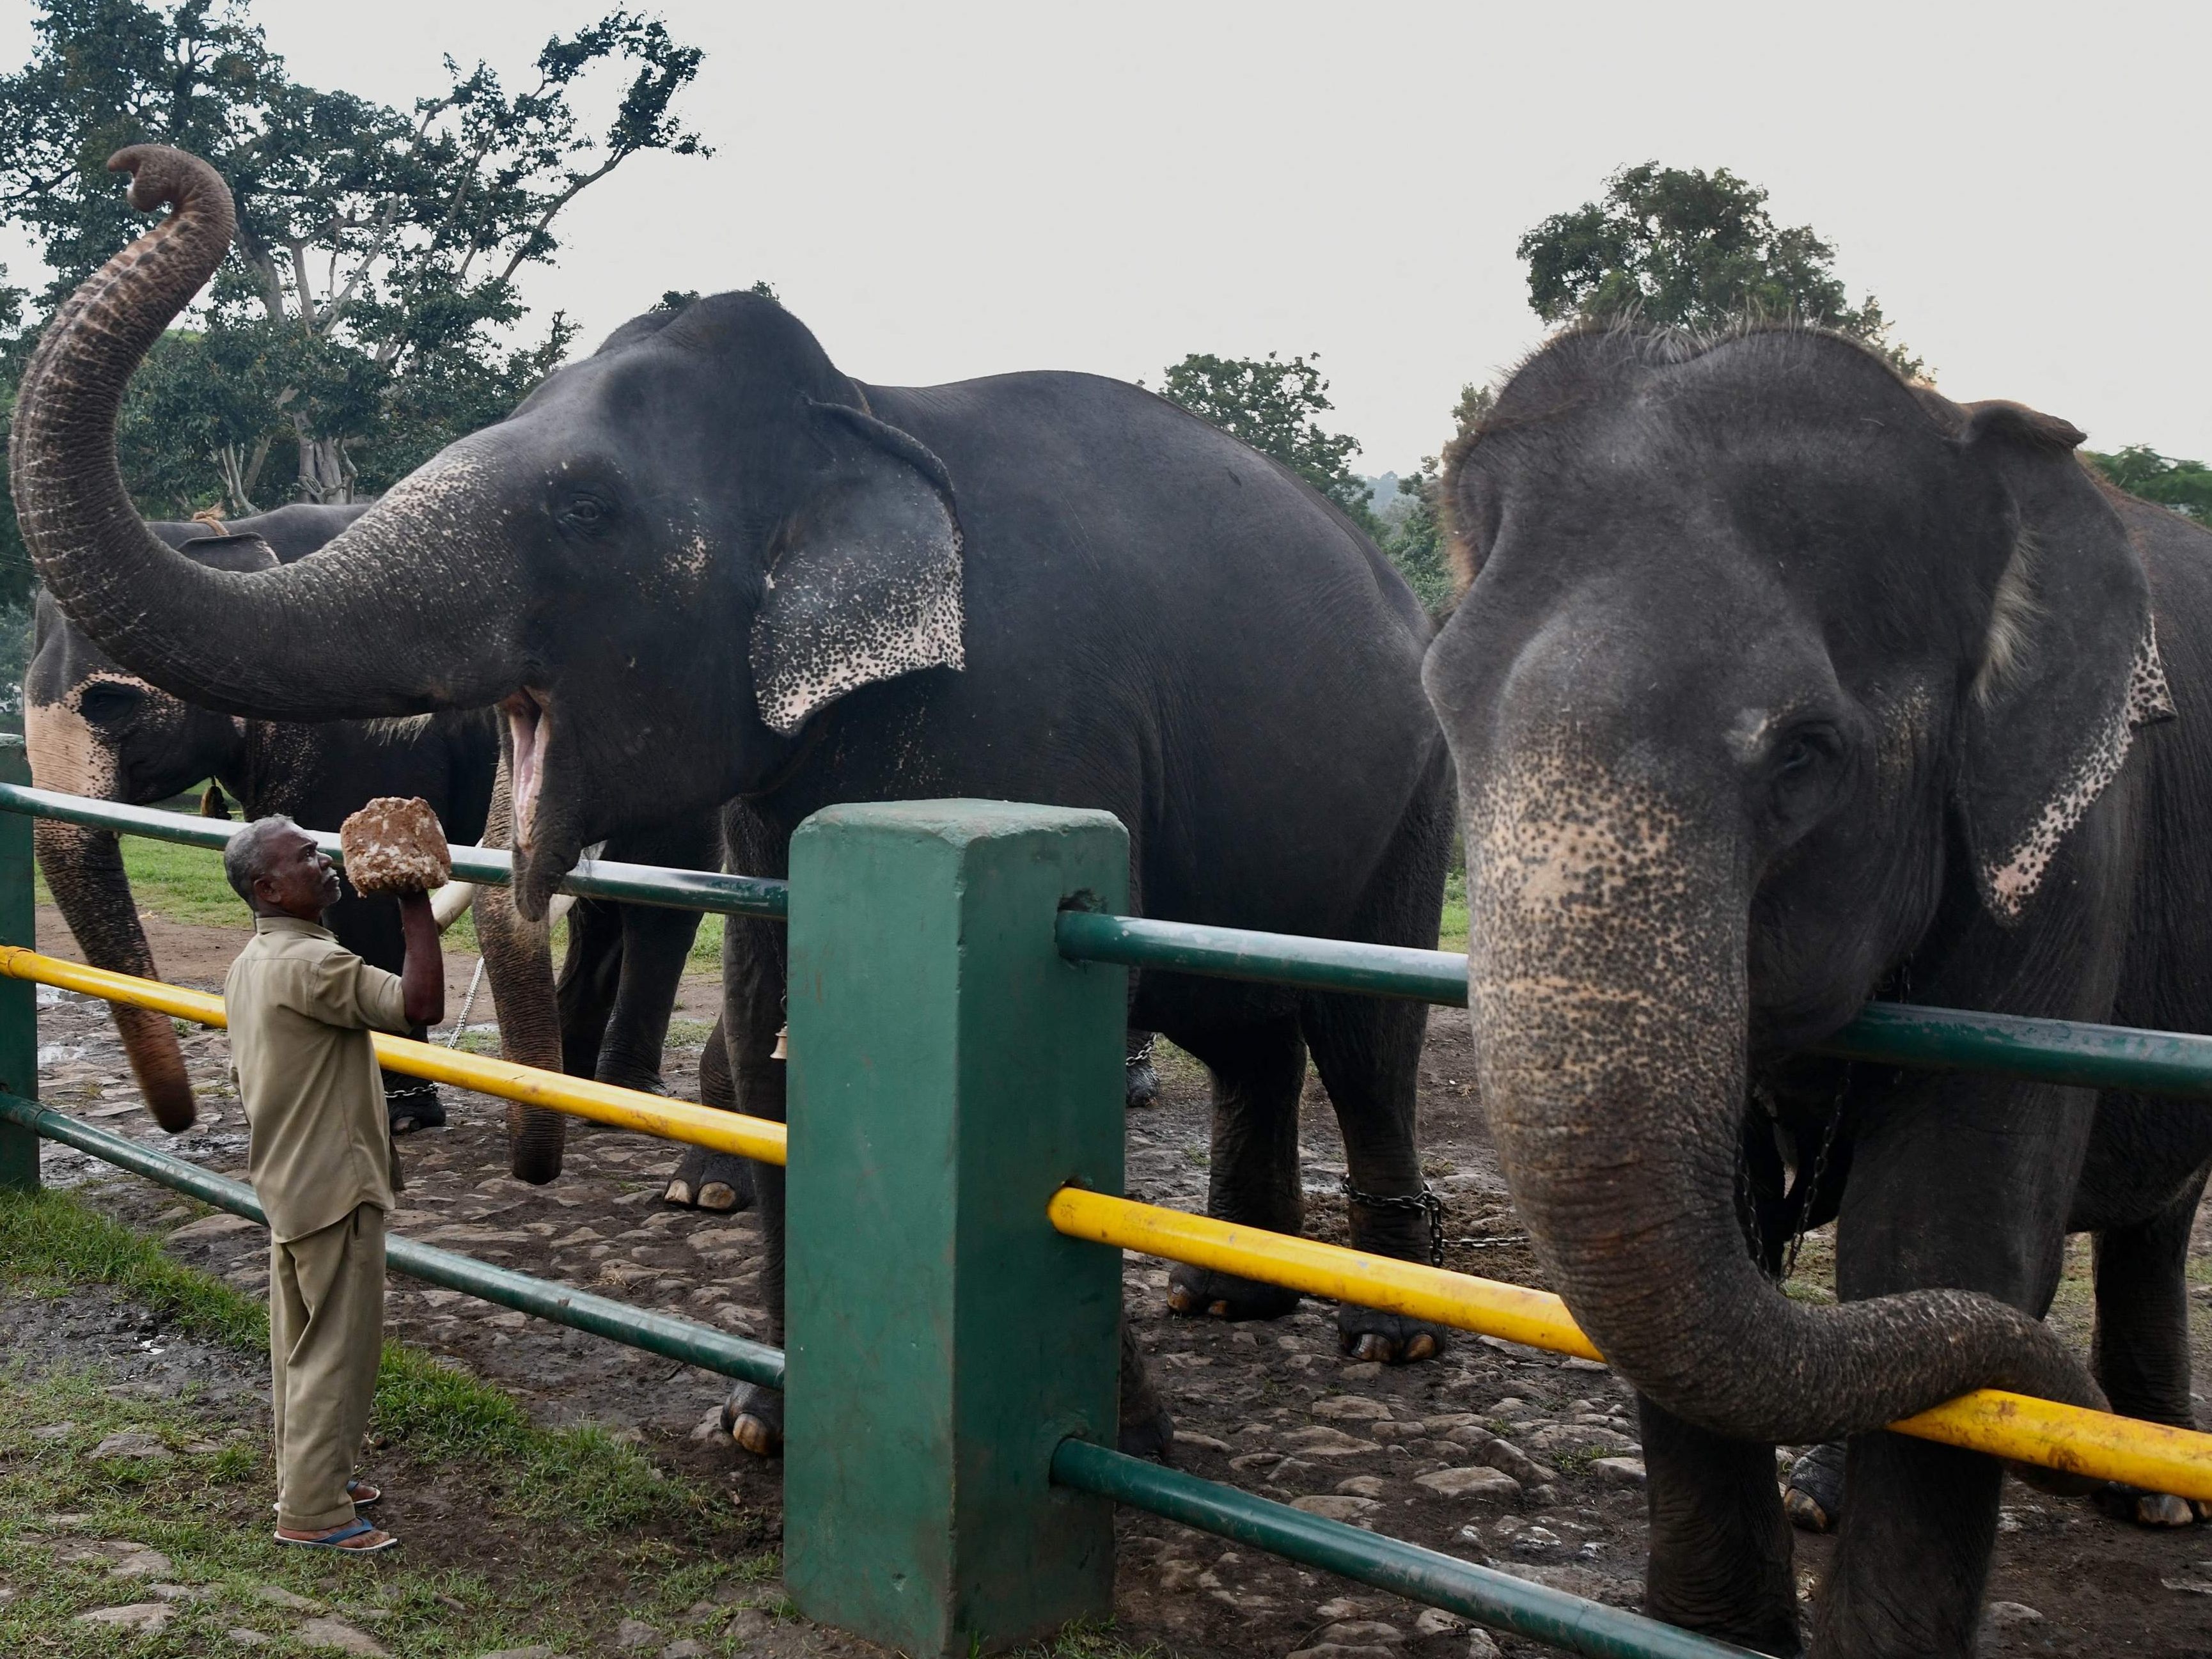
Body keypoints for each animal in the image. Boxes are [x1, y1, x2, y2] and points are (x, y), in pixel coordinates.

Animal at [17, 149, 1459, 1459]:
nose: (144, 176)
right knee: (1247, 1018)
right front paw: (758, 1427)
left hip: (1422, 786)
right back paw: (1224, 1295)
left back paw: (1381, 1333)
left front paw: (1121, 1452)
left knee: (1362, 1025)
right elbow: (782, 1033)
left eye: (584, 506)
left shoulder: (1032, 722)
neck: (857, 408)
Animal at [1415, 318, 2212, 1655]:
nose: (2061, 1430)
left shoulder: (2071, 852)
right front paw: (1718, 1631)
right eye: (1439, 711)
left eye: (1801, 753)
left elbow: (1944, 1233)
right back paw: (1831, 1493)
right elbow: (1726, 1236)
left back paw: (2151, 1490)